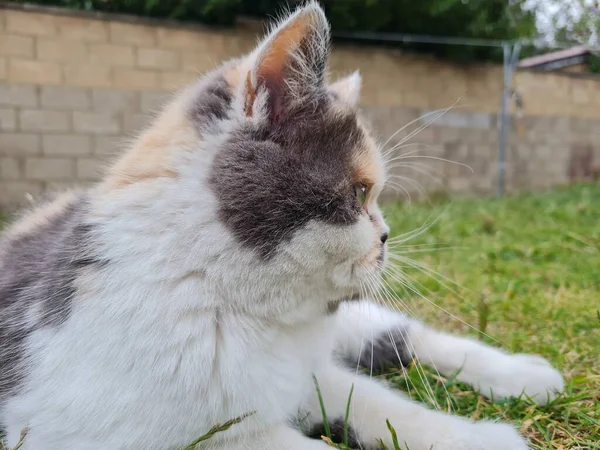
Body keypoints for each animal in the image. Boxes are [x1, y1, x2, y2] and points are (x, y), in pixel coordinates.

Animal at [0, 1, 564, 448]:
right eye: (360, 193)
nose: (385, 236)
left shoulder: (307, 370)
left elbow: (381, 404)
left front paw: (479, 437)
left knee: (397, 333)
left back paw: (527, 374)